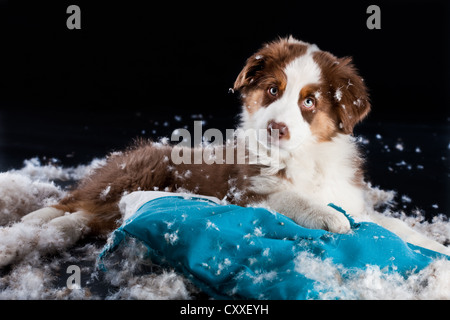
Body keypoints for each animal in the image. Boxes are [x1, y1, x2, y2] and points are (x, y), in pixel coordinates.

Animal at [1, 35, 448, 268]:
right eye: (273, 90)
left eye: (309, 102)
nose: (276, 128)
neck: (304, 157)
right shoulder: (249, 190)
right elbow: (293, 199)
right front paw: (329, 218)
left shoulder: (351, 197)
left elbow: (389, 225)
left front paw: (438, 247)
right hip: (138, 170)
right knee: (73, 203)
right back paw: (29, 227)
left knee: (84, 216)